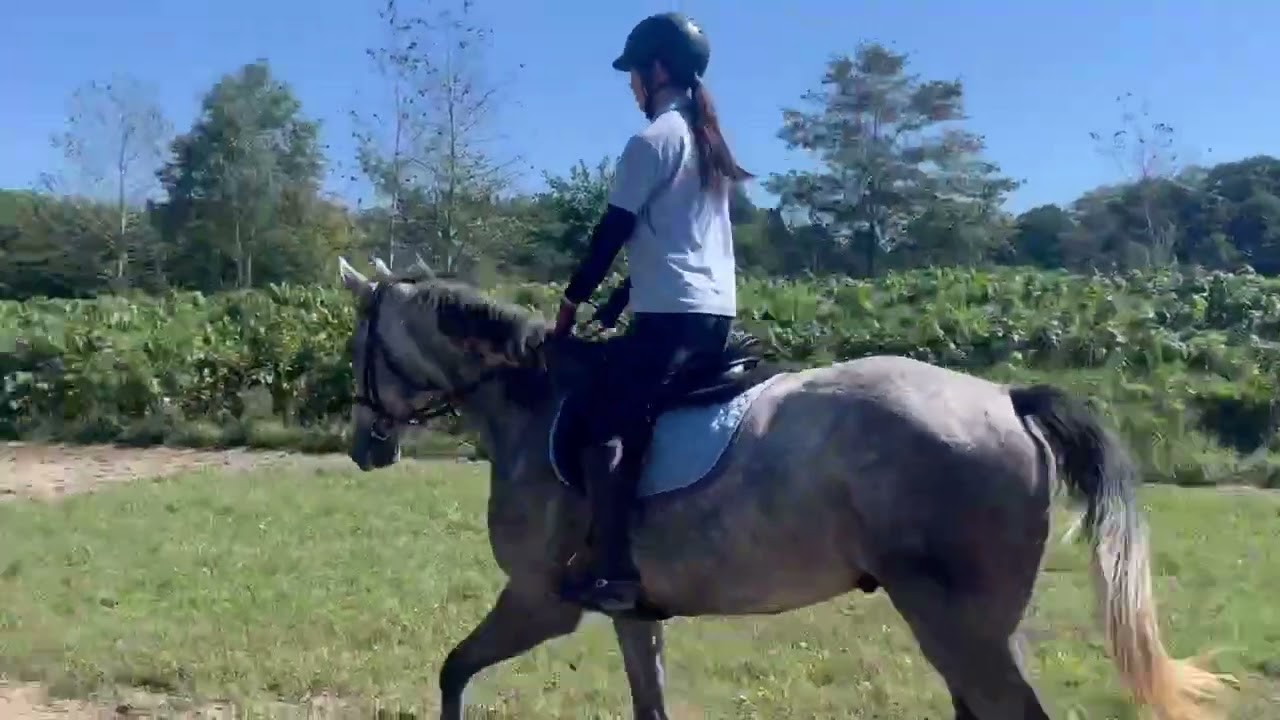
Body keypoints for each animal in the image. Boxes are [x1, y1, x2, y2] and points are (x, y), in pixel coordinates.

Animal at [335, 256, 1232, 720]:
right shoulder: (633, 615)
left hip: (956, 623)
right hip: (972, 626)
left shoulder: (536, 601)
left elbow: (454, 672)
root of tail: (1007, 397)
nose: (363, 447)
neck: (535, 401)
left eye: (359, 347)